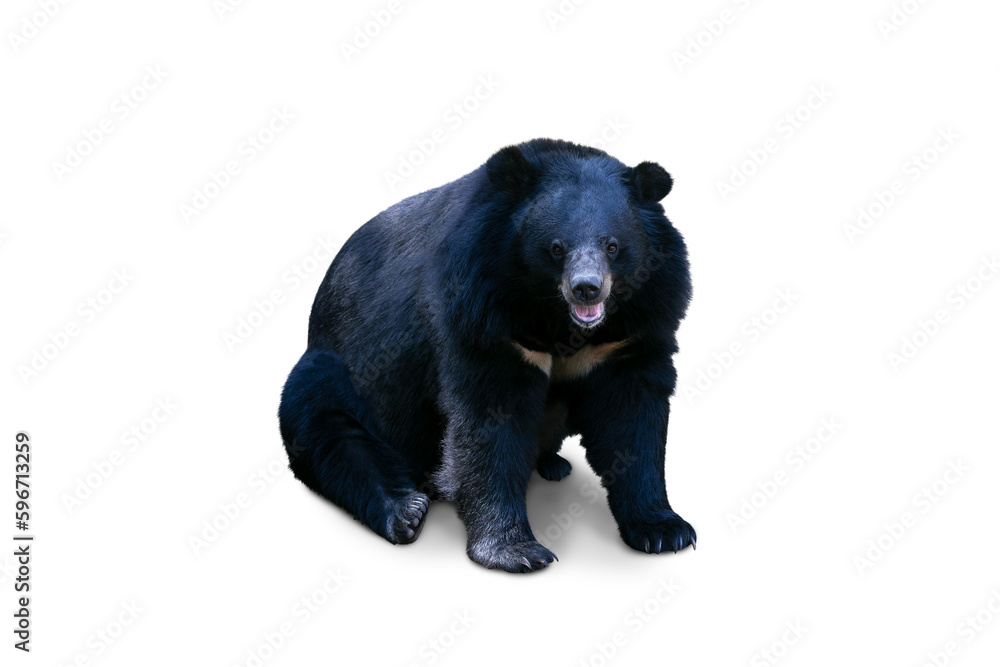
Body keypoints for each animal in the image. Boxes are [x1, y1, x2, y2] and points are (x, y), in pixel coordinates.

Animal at [279, 138, 695, 572]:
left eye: (613, 246)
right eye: (556, 248)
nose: (587, 289)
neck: (558, 318)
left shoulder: (632, 328)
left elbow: (632, 416)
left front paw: (666, 531)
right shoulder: (481, 310)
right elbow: (489, 420)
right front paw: (517, 551)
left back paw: (551, 463)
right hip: (334, 369)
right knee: (331, 434)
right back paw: (405, 512)